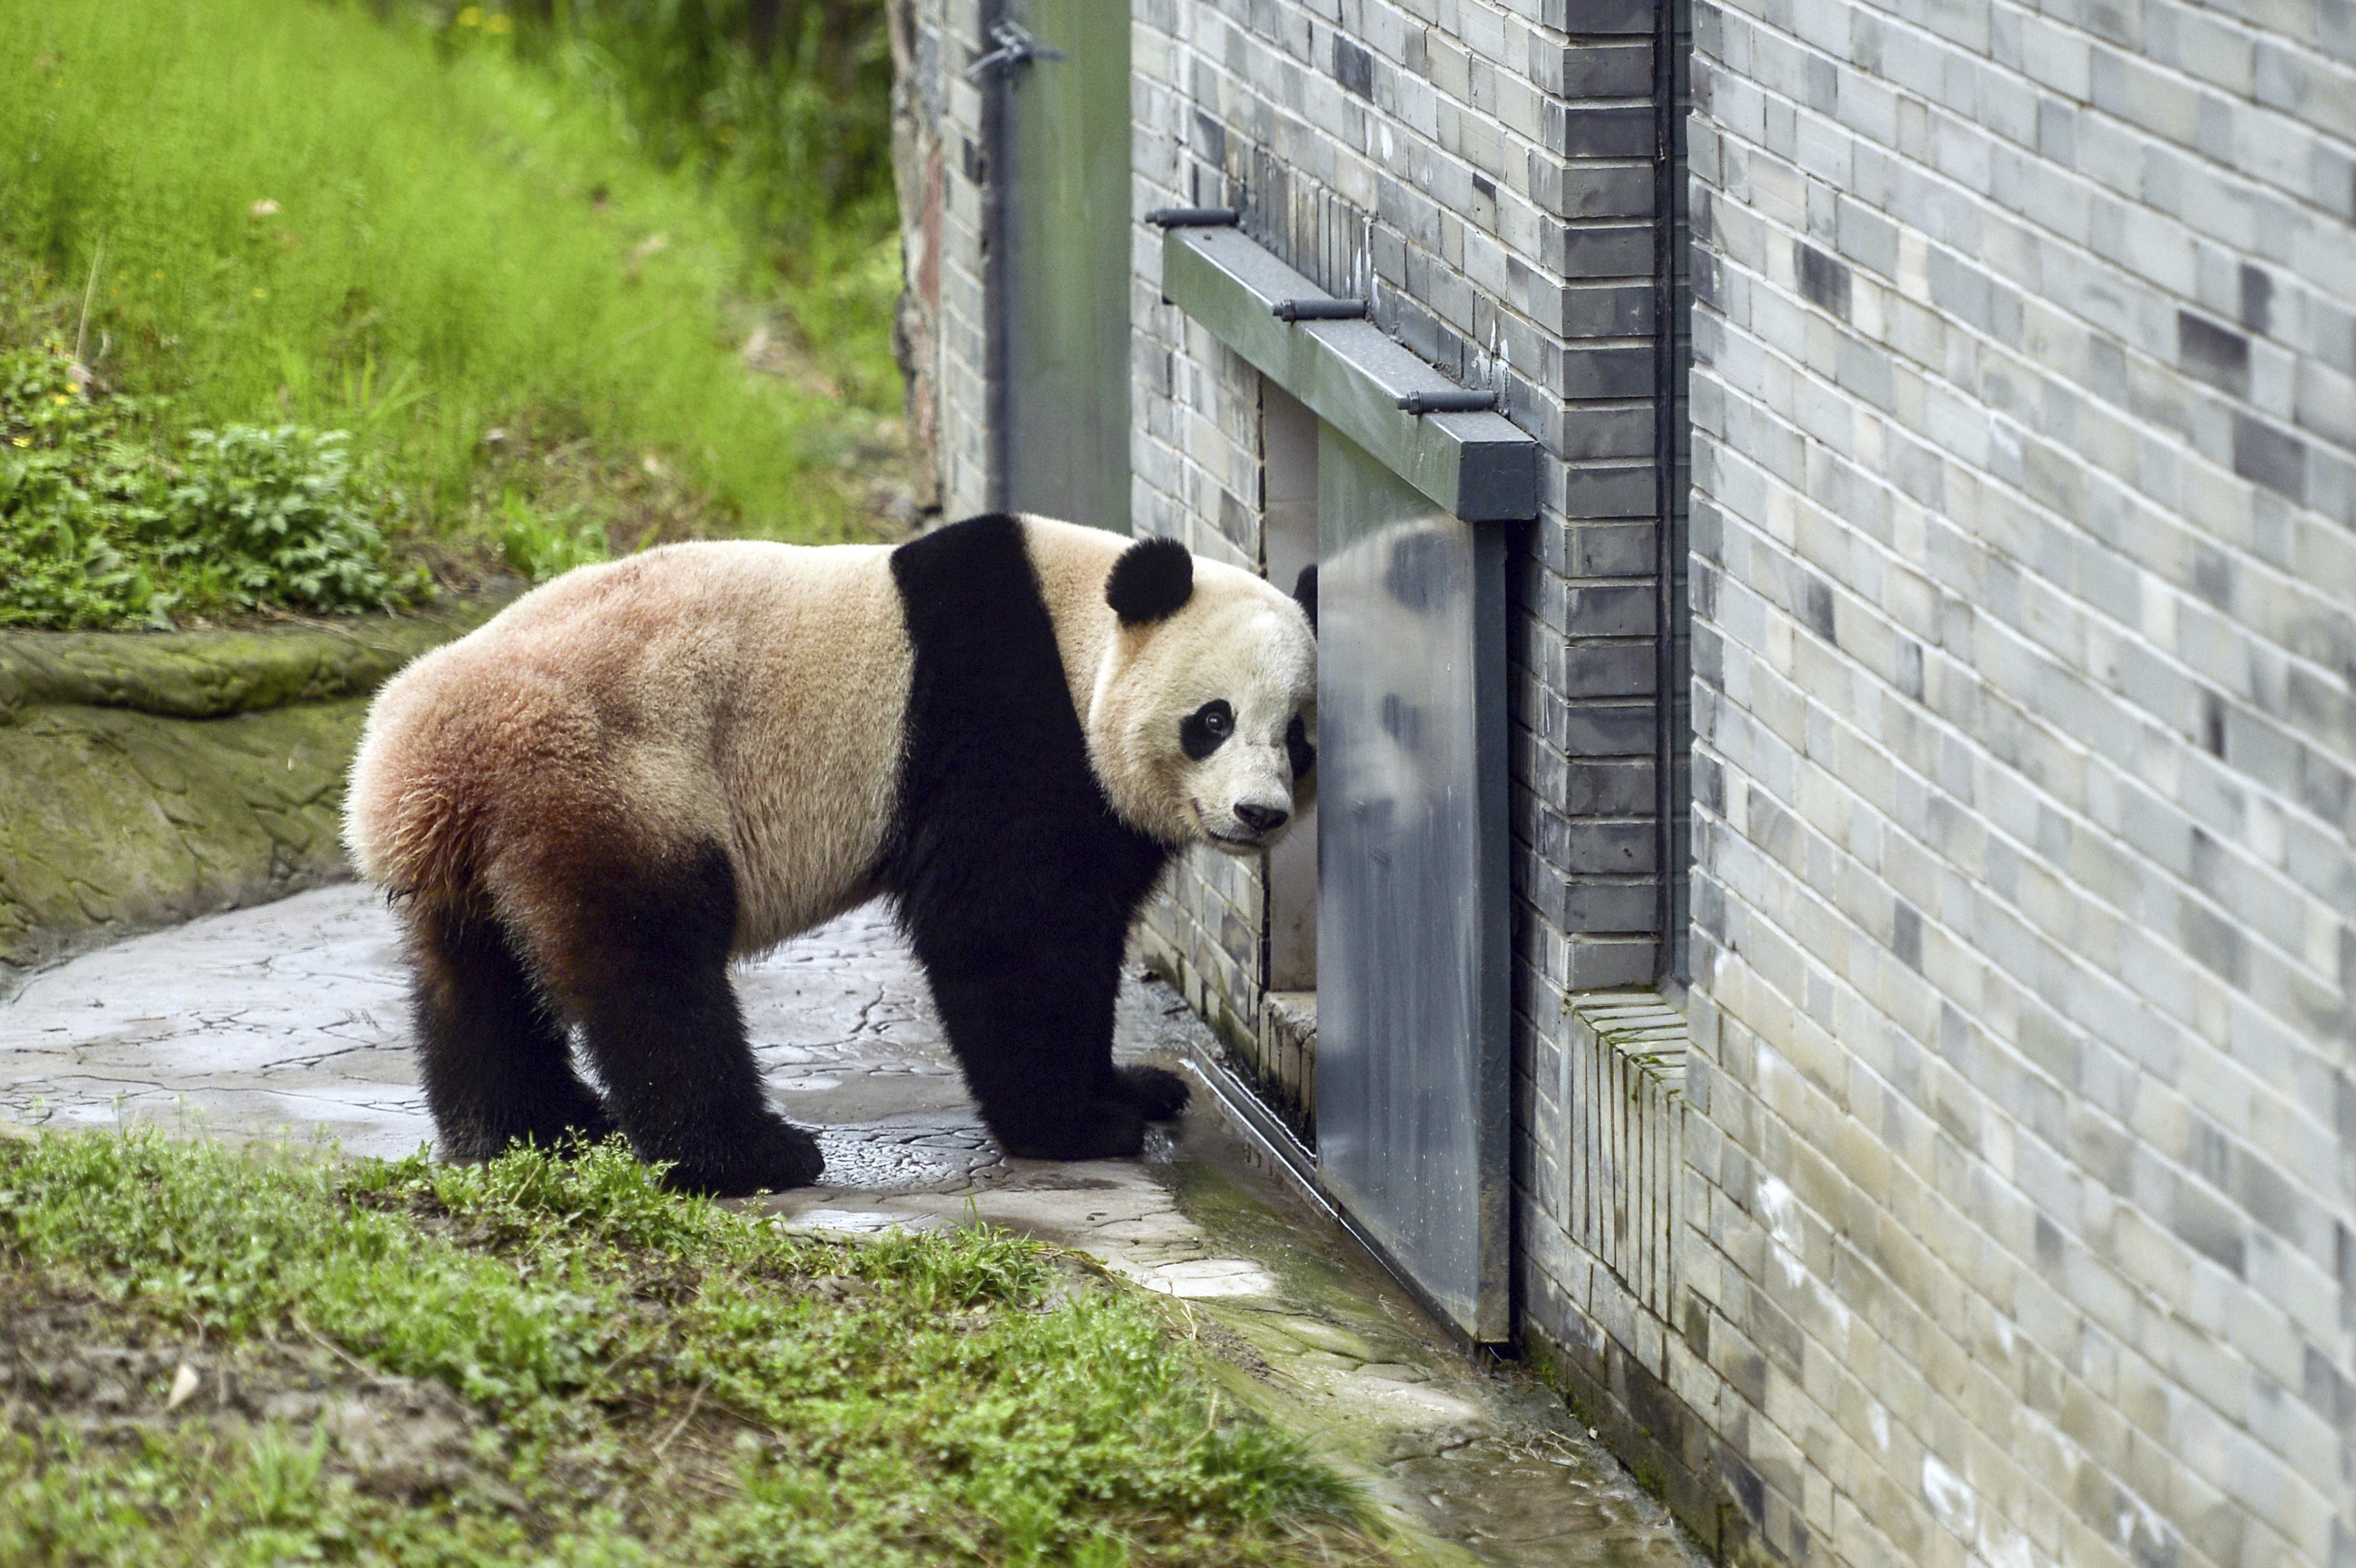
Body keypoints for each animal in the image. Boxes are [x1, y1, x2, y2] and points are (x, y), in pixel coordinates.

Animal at [344, 513, 1318, 1196]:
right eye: (1213, 720)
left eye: (1299, 736)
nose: (1258, 813)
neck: (1080, 629)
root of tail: (416, 759)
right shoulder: (999, 719)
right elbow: (1007, 931)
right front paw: (1079, 1125)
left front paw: (1136, 1084)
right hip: (609, 779)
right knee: (650, 975)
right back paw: (746, 1155)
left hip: (486, 840)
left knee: (474, 979)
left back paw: (527, 1130)